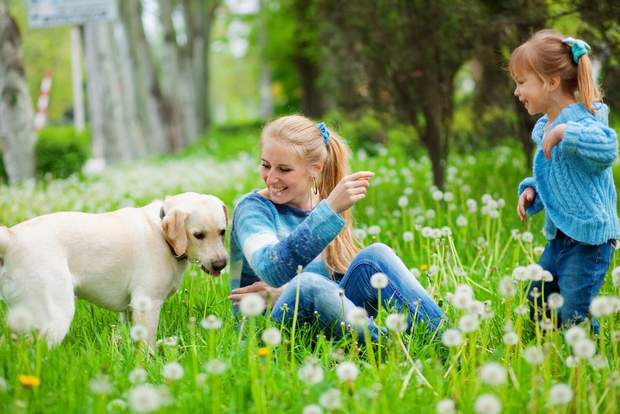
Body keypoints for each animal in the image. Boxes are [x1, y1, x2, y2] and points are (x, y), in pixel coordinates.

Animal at [0, 192, 228, 348]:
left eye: (222, 231)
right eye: (198, 235)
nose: (221, 264)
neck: (161, 230)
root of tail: (12, 236)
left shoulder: (129, 310)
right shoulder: (146, 304)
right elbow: (148, 344)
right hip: (56, 314)